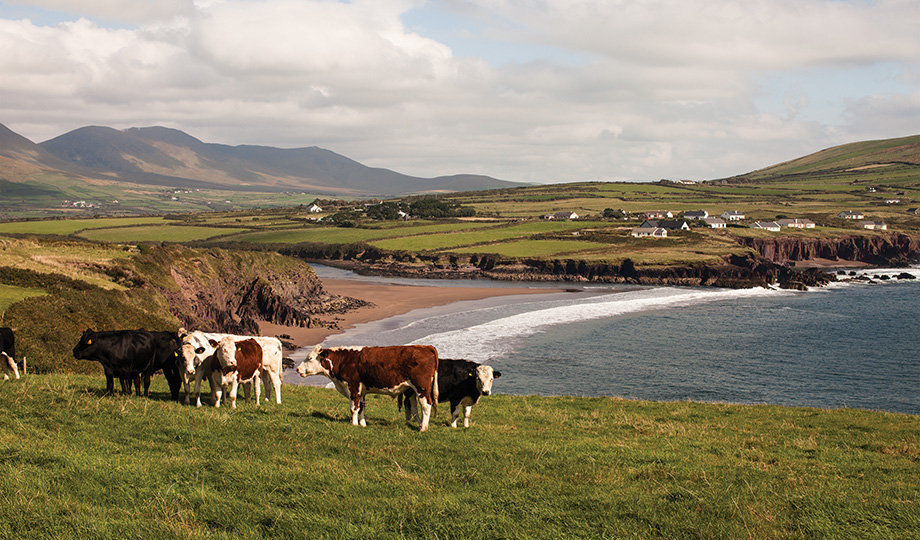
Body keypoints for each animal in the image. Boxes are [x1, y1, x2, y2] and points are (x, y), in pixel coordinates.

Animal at [294, 346, 438, 430]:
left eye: (309, 358)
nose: (297, 369)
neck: (344, 360)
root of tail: (425, 347)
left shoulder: (352, 387)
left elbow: (353, 408)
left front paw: (354, 424)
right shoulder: (361, 391)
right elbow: (362, 407)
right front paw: (362, 424)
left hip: (421, 387)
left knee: (426, 405)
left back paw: (423, 428)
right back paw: (421, 424)